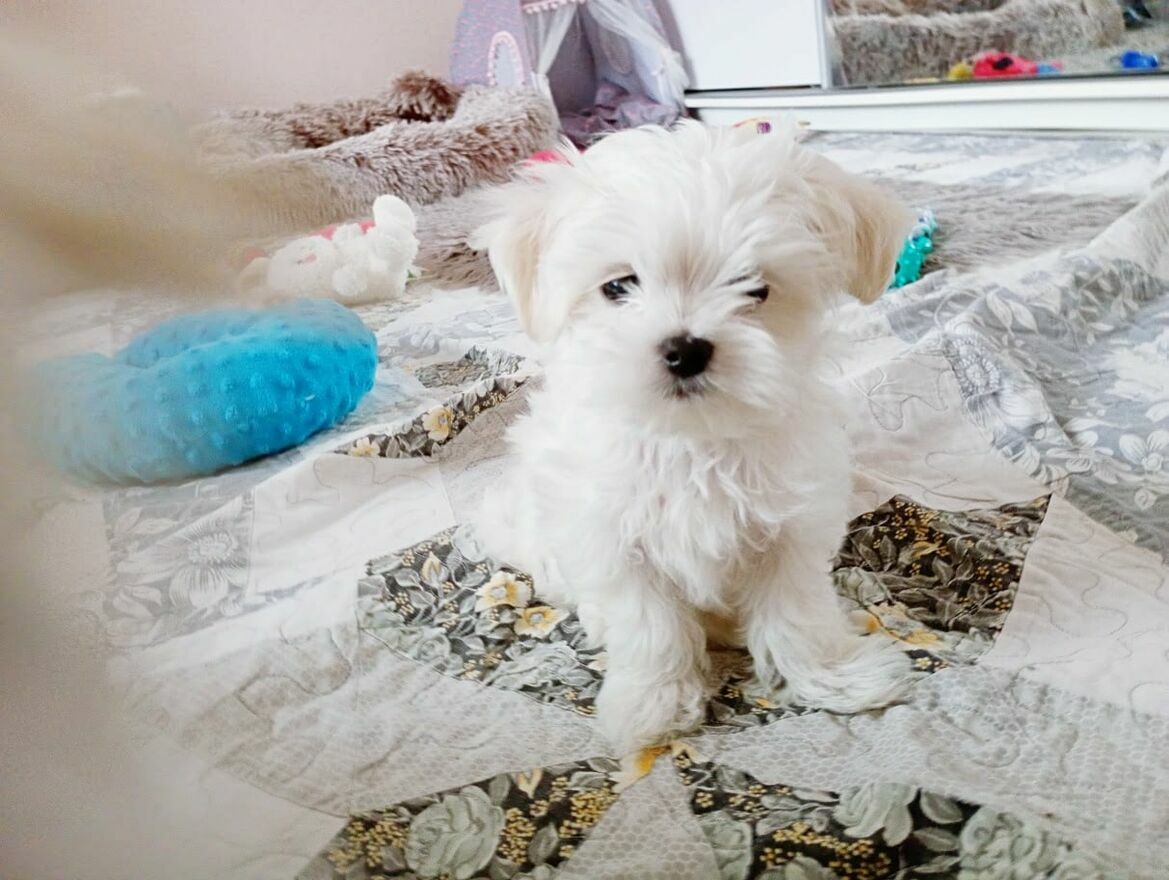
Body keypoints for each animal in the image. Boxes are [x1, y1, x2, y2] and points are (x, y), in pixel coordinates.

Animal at [472, 121, 915, 752]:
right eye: (618, 286)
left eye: (755, 288)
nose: (685, 349)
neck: (690, 439)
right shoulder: (611, 537)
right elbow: (648, 623)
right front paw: (650, 704)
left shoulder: (792, 525)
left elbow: (797, 611)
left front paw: (834, 679)